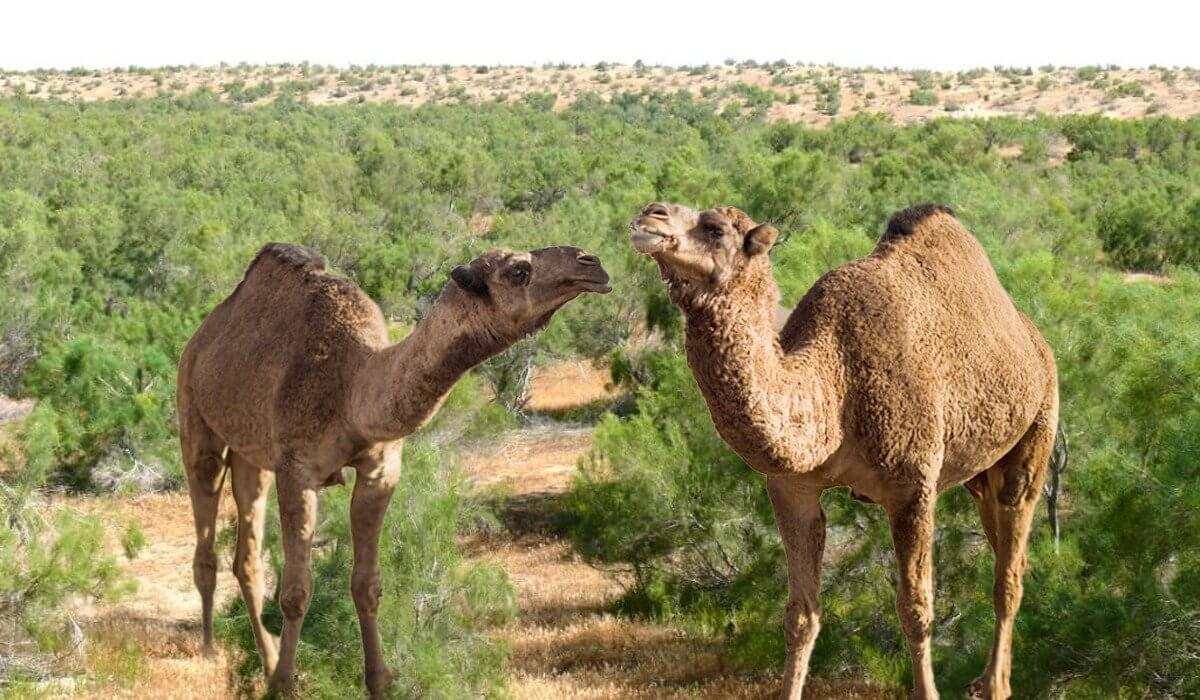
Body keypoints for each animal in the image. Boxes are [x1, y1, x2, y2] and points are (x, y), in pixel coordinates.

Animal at [175, 242, 609, 696]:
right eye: (518, 271)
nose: (591, 264)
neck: (352, 387)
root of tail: (203, 333)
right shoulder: (298, 471)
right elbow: (296, 589)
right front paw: (284, 686)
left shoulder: (379, 471)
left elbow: (367, 584)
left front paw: (380, 680)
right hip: (194, 417)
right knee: (205, 529)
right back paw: (212, 652)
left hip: (252, 458)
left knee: (248, 556)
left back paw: (268, 659)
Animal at [633, 204, 1056, 700]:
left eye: (715, 228)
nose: (650, 216)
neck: (835, 385)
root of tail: (1033, 337)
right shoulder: (791, 489)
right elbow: (800, 616)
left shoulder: (912, 485)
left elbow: (915, 609)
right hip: (980, 474)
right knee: (1007, 553)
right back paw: (991, 679)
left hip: (1037, 429)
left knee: (1009, 569)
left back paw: (995, 686)